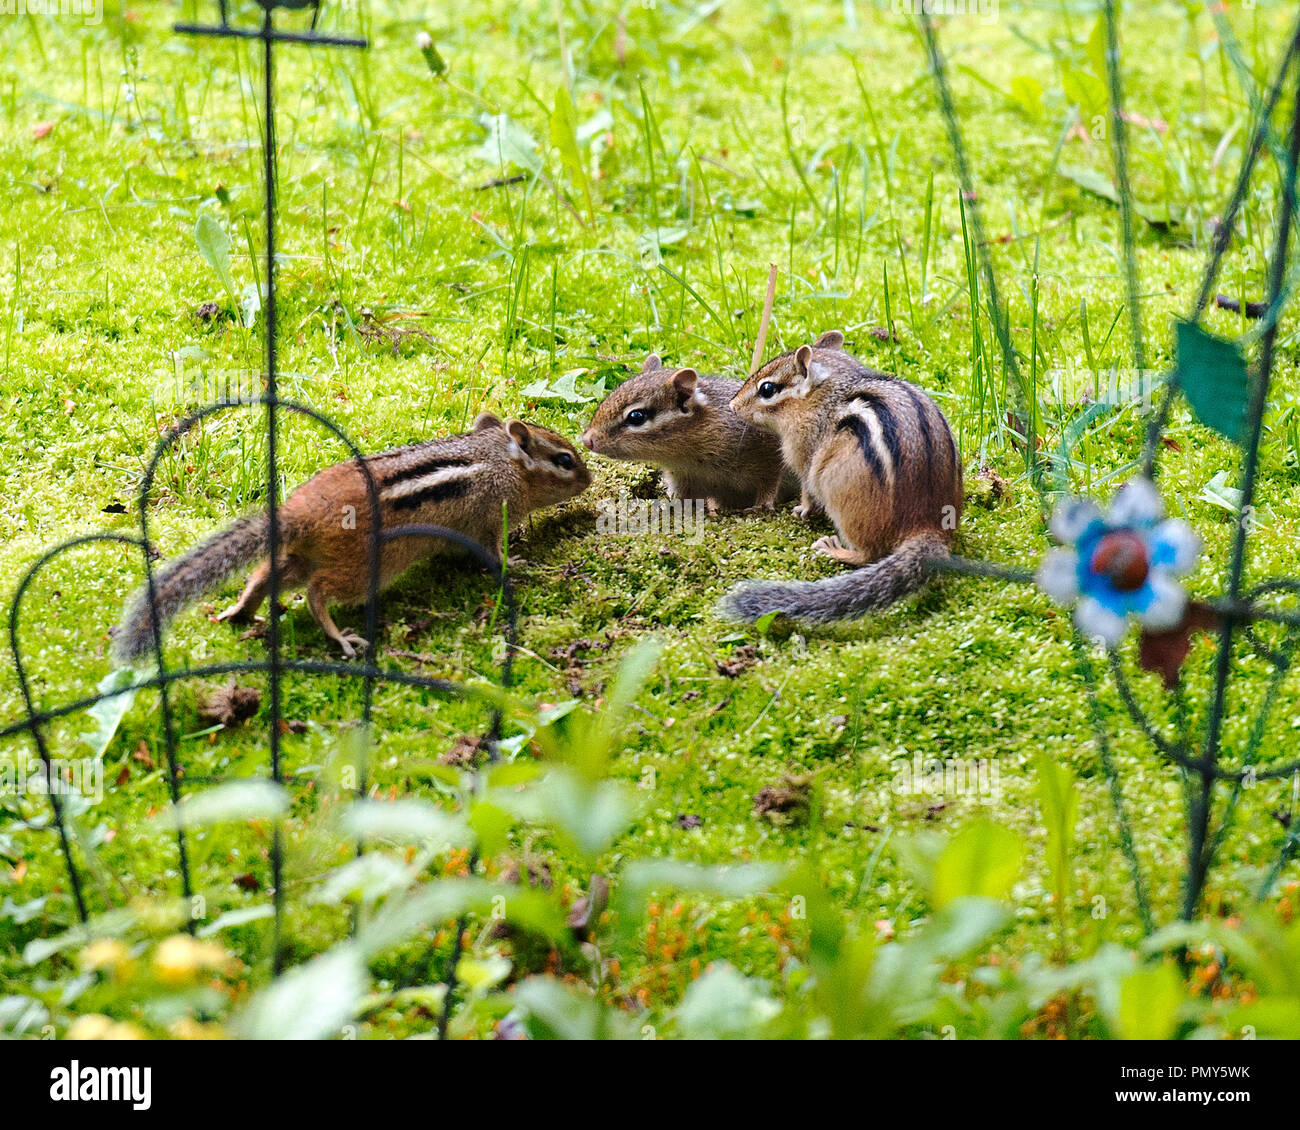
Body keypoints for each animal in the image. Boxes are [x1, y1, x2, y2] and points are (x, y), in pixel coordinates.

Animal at [111, 414, 591, 662]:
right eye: (565, 460)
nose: (588, 480)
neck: (499, 460)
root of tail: (298, 513)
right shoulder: (491, 520)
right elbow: (496, 554)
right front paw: (520, 563)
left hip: (303, 556)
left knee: (265, 576)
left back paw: (239, 612)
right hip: (363, 571)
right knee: (317, 592)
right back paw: (339, 638)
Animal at [578, 354, 797, 511]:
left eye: (636, 416)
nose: (587, 441)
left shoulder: (768, 453)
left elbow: (770, 481)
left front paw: (762, 505)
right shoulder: (683, 479)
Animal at [720, 330, 962, 623]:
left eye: (767, 389)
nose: (732, 405)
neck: (825, 392)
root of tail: (929, 525)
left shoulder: (803, 453)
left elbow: (806, 487)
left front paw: (801, 509)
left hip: (842, 497)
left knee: (868, 555)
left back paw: (834, 550)